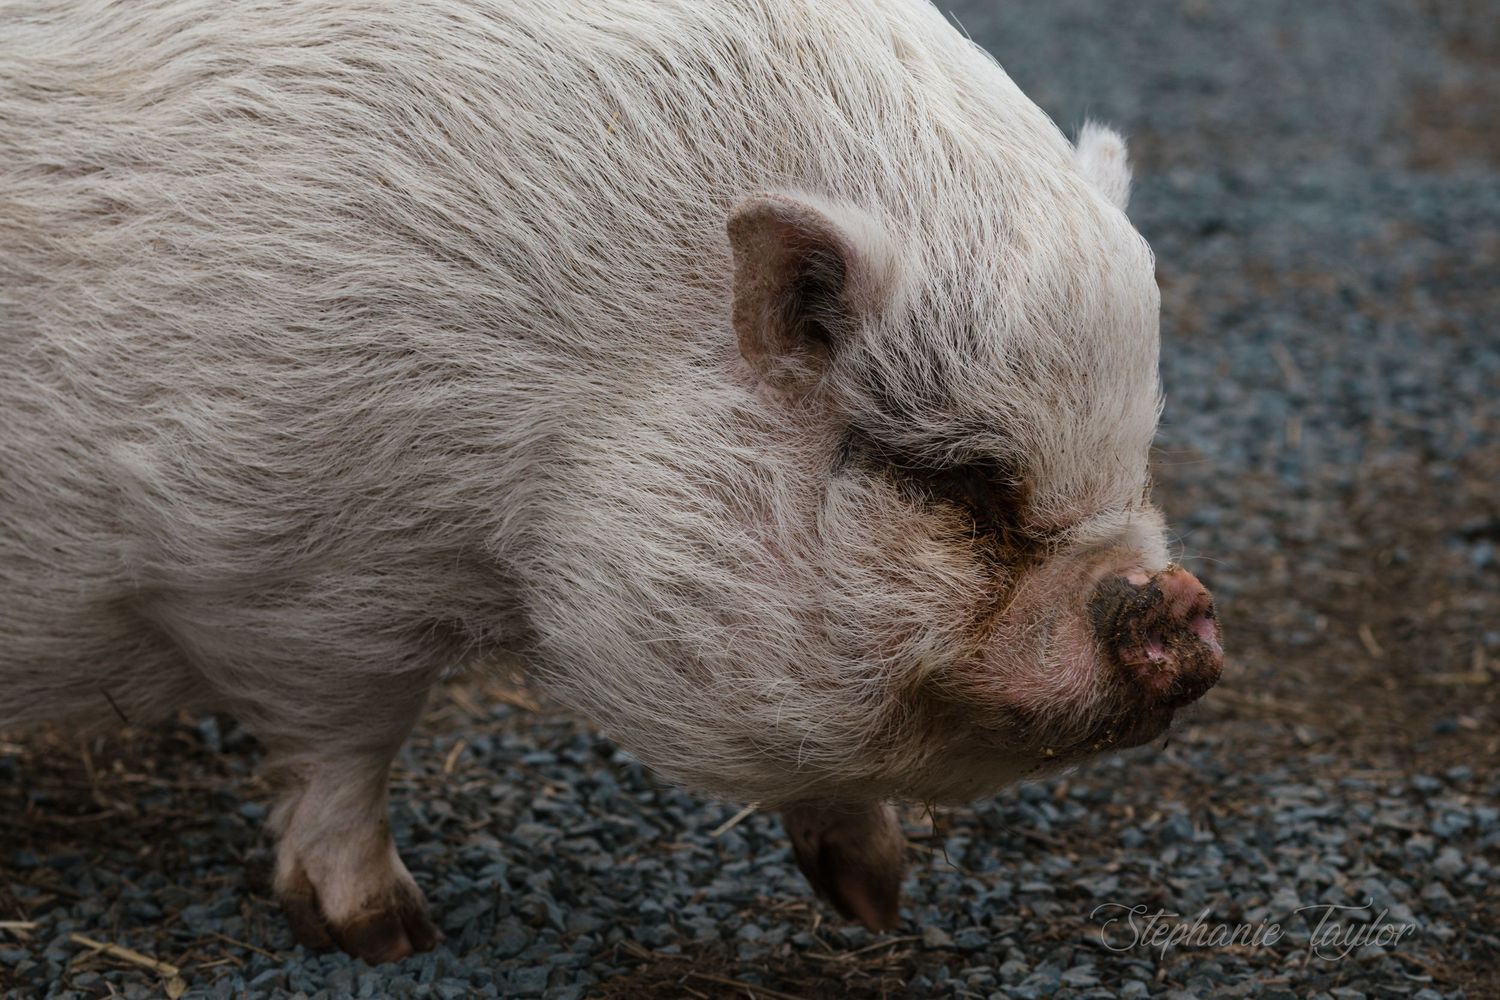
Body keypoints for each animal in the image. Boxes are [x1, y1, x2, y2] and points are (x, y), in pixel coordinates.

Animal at [0, 0, 1223, 963]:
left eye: (1135, 462)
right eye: (962, 481)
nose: (1177, 597)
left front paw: (876, 905)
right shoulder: (278, 565)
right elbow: (346, 749)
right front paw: (392, 938)